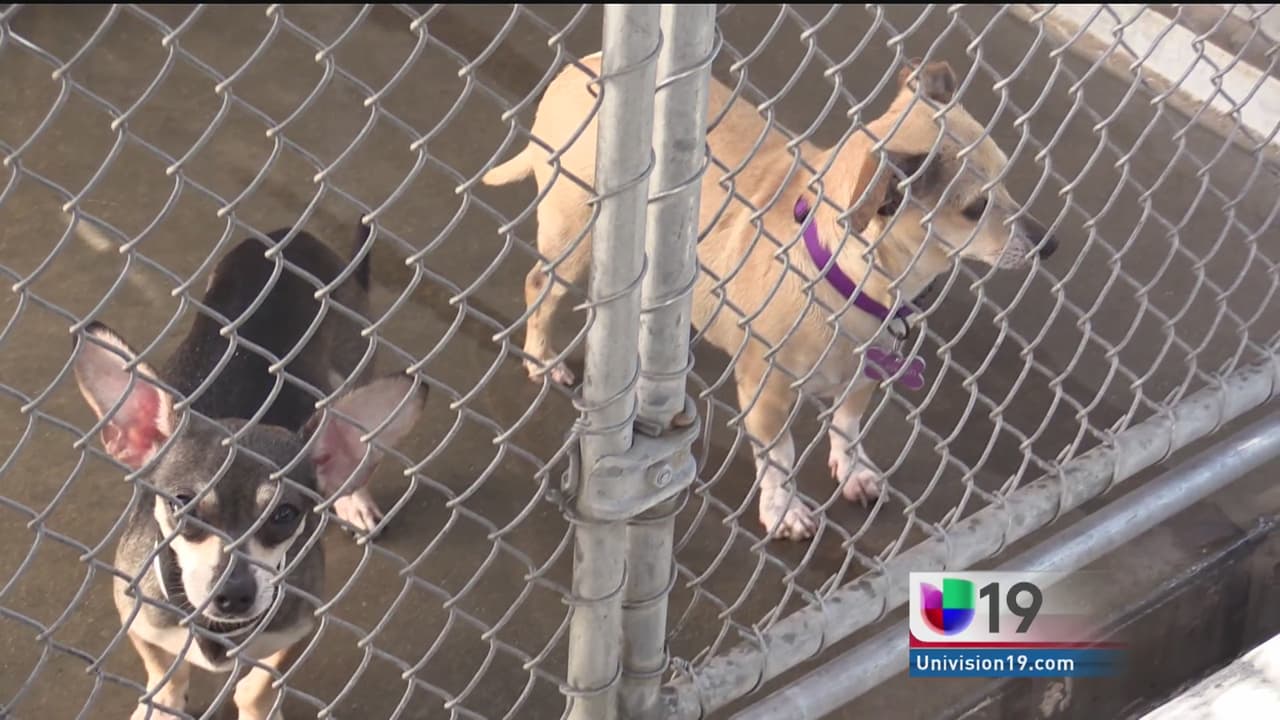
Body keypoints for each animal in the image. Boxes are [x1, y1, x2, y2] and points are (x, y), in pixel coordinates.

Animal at [71, 224, 425, 719]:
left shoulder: (297, 629)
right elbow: (164, 670)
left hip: (352, 366)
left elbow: (257, 686)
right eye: (183, 506)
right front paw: (162, 705)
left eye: (285, 515)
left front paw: (258, 708)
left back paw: (355, 500)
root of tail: (290, 235)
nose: (234, 594)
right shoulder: (137, 616)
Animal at [483, 56, 1057, 540]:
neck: (844, 273)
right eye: (976, 208)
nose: (1049, 243)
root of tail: (584, 66)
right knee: (539, 287)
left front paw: (853, 470)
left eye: (1008, 178)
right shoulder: (768, 394)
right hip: (575, 241)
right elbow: (781, 454)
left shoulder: (864, 376)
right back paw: (542, 358)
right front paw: (784, 510)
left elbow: (848, 426)